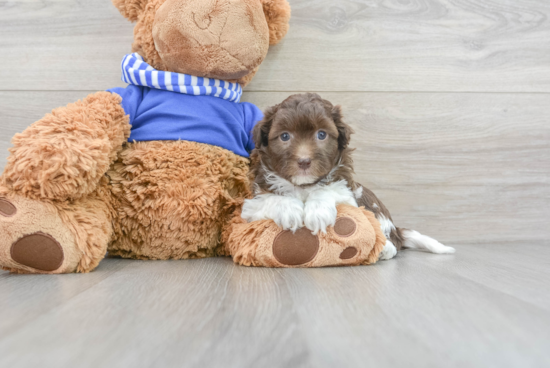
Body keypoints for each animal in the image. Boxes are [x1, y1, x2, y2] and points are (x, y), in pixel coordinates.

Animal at [243, 93, 458, 260]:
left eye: (321, 135)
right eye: (285, 136)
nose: (304, 161)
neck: (304, 185)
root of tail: (396, 230)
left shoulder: (348, 194)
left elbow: (328, 190)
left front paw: (318, 211)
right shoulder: (251, 205)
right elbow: (271, 198)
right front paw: (288, 209)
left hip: (376, 210)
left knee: (390, 242)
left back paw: (384, 249)